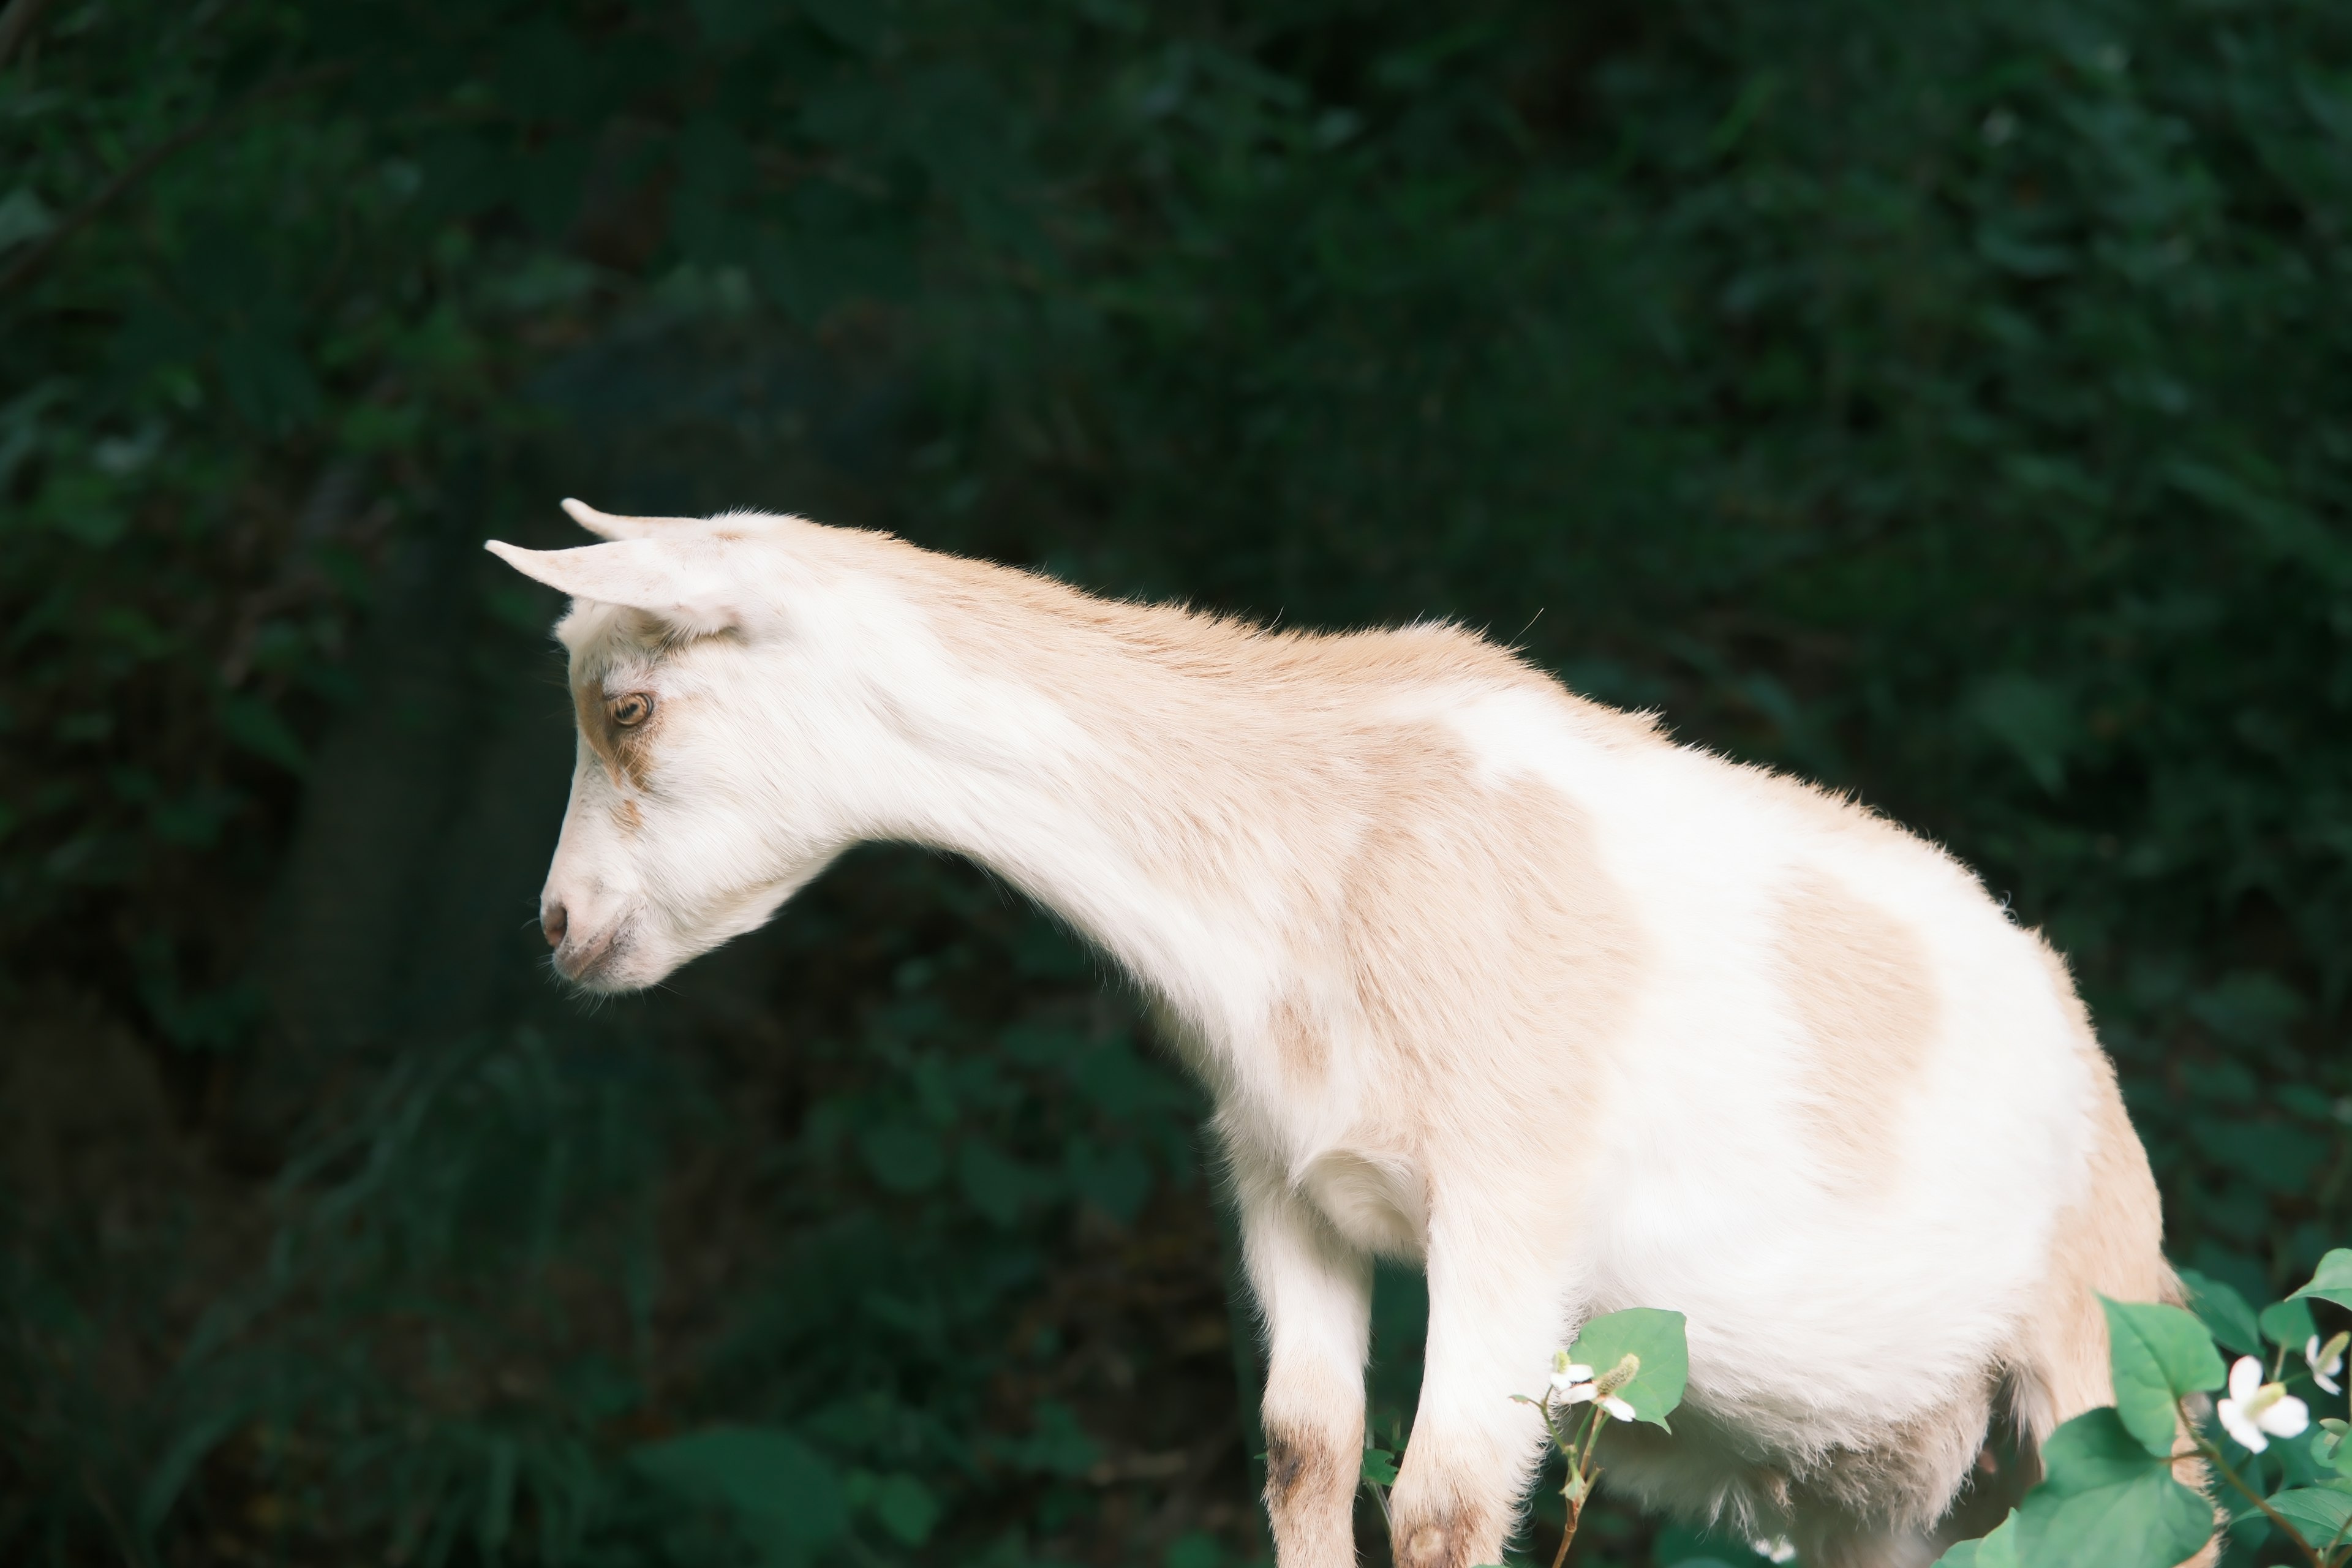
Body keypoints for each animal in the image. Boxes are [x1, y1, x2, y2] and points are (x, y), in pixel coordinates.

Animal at [486, 503, 2173, 1568]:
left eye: (627, 704)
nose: (559, 928)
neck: (1318, 843)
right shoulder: (1283, 1181)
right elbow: (1303, 1447)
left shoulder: (1515, 1215)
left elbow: (1436, 1506)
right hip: (1879, 1490)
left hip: (2109, 1358)